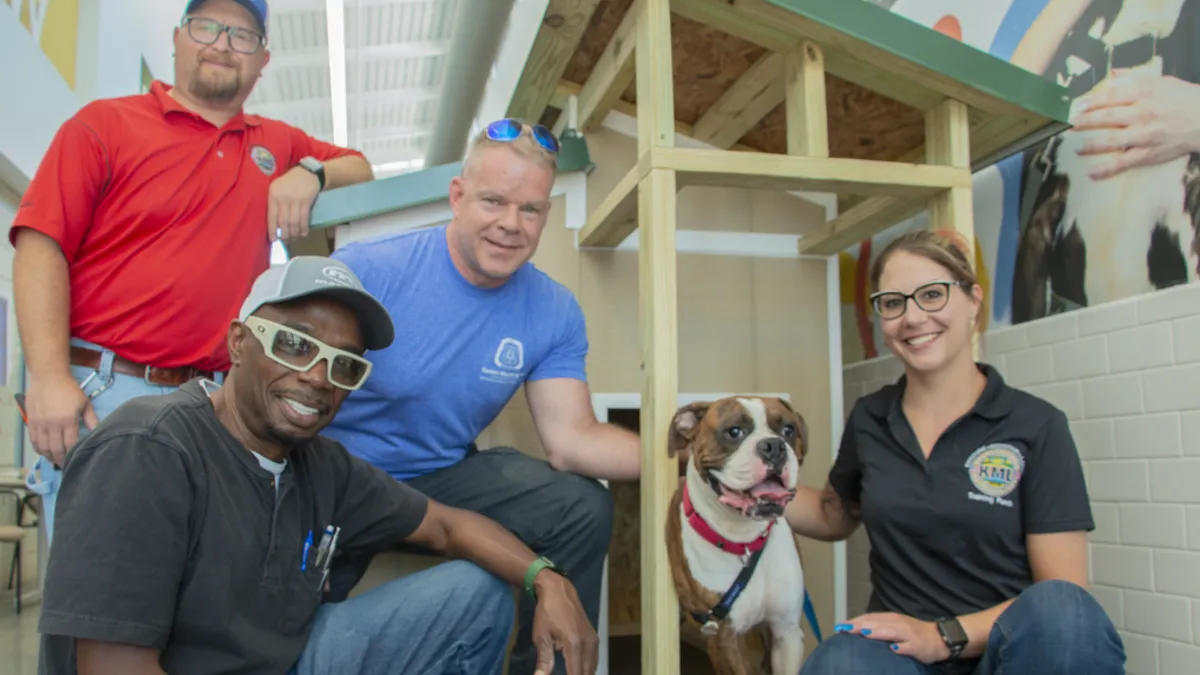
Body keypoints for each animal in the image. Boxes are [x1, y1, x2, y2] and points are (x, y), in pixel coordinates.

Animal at [662, 393, 811, 672]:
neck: (745, 541)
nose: (774, 446)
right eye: (734, 432)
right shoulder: (723, 638)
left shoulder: (786, 632)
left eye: (788, 430)